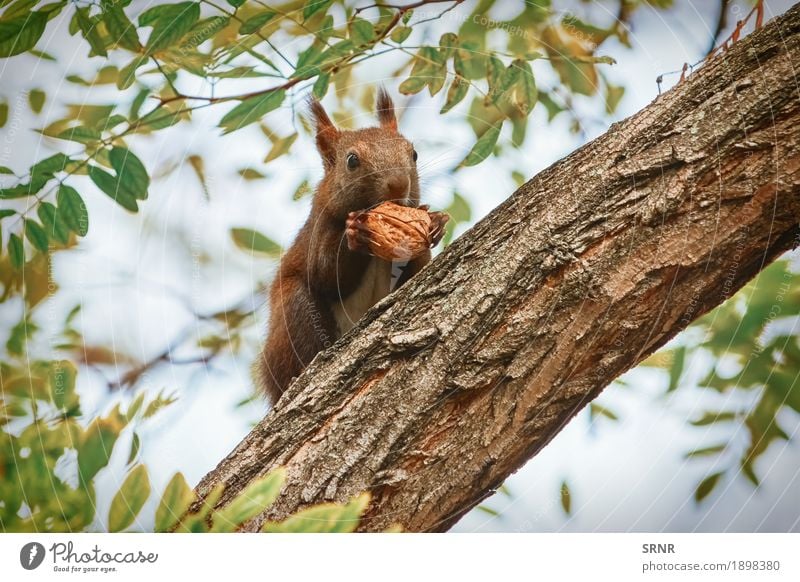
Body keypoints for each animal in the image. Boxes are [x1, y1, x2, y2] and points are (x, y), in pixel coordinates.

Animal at [255, 89, 444, 408]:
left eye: (414, 154)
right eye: (352, 160)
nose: (398, 184)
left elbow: (416, 273)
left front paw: (436, 222)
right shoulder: (318, 233)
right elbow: (326, 276)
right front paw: (355, 233)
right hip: (294, 314)